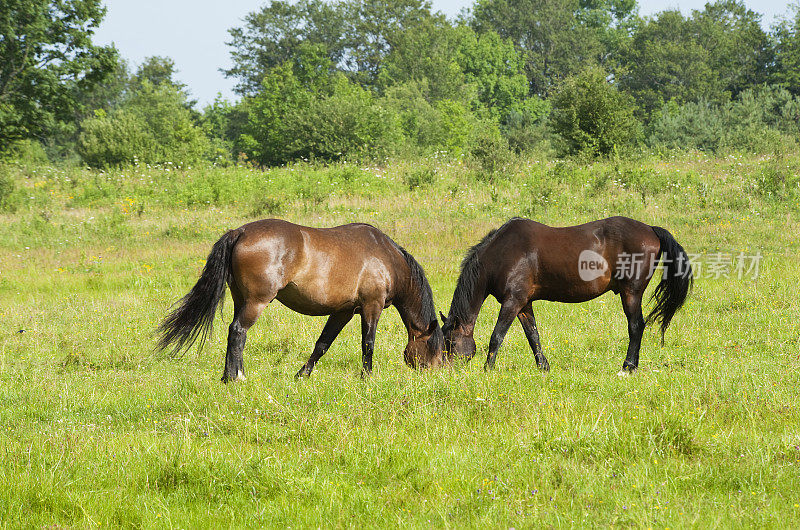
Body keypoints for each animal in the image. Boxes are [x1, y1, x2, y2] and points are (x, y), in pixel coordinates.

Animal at [156, 218, 444, 380]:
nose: (436, 375)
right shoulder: (371, 307)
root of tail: (240, 232)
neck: (386, 257)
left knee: (234, 333)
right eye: (437, 349)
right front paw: (367, 377)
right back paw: (236, 377)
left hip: (241, 300)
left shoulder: (343, 311)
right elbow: (368, 343)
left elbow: (322, 344)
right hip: (256, 302)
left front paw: (302, 374)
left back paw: (231, 375)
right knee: (238, 331)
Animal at [440, 217, 692, 374]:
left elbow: (497, 336)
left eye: (450, 342)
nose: (446, 369)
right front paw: (543, 367)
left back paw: (627, 367)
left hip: (631, 293)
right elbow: (533, 336)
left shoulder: (512, 302)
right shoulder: (524, 304)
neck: (502, 254)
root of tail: (650, 229)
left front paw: (487, 368)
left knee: (636, 326)